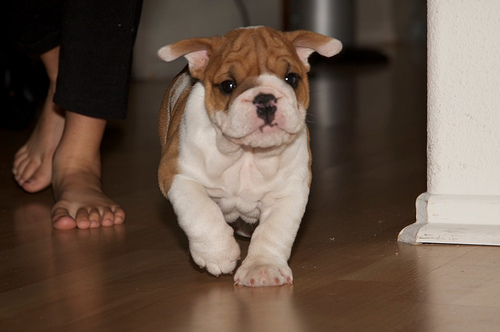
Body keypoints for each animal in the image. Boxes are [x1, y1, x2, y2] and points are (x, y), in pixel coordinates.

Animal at [158, 26, 342, 286]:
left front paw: (263, 268)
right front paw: (218, 254)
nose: (265, 99)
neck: (247, 153)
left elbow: (274, 230)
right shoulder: (178, 175)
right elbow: (201, 213)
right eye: (228, 85)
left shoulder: (288, 192)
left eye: (291, 79)